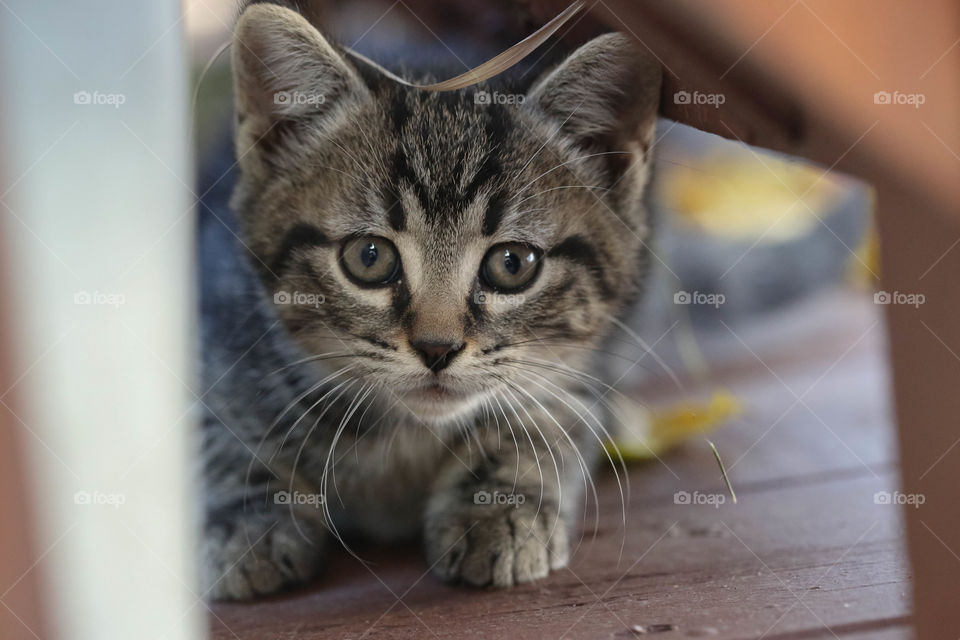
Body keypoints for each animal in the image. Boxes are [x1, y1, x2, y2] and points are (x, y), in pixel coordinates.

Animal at [198, 2, 656, 600]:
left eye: (513, 264)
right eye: (369, 257)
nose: (437, 349)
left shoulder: (577, 372)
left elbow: (543, 420)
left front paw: (497, 505)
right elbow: (212, 430)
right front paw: (246, 515)